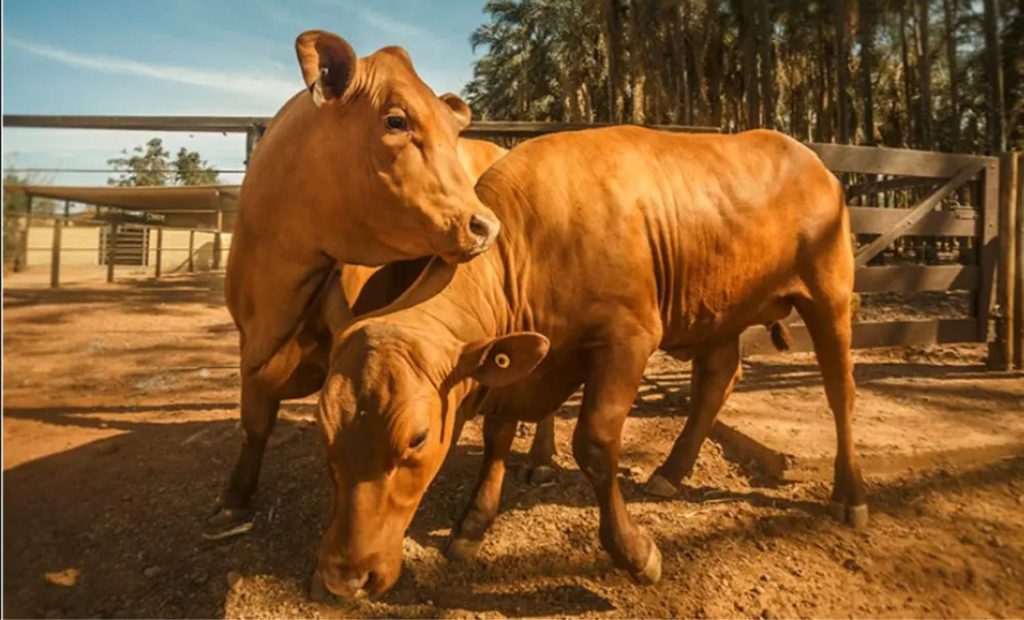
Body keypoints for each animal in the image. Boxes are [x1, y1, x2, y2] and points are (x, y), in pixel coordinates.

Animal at [209, 29, 504, 532]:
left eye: (453, 134)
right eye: (396, 120)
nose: (485, 225)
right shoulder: (249, 346)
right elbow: (254, 424)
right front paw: (234, 499)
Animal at [314, 126, 867, 599]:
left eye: (418, 438)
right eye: (325, 430)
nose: (347, 576)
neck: (534, 246)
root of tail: (809, 157)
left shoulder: (627, 339)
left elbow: (595, 443)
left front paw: (635, 553)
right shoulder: (520, 359)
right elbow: (497, 434)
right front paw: (473, 524)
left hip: (830, 292)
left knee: (840, 388)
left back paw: (851, 494)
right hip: (720, 307)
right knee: (718, 379)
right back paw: (671, 471)